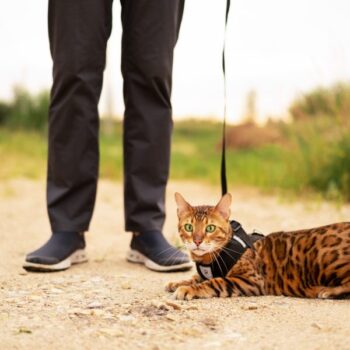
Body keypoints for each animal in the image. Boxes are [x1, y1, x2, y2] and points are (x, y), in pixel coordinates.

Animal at [166, 193, 350, 300]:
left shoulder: (250, 280)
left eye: (210, 228)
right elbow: (196, 277)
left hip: (325, 259)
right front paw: (178, 282)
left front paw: (188, 289)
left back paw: (328, 291)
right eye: (189, 227)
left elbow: (213, 282)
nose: (197, 241)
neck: (208, 260)